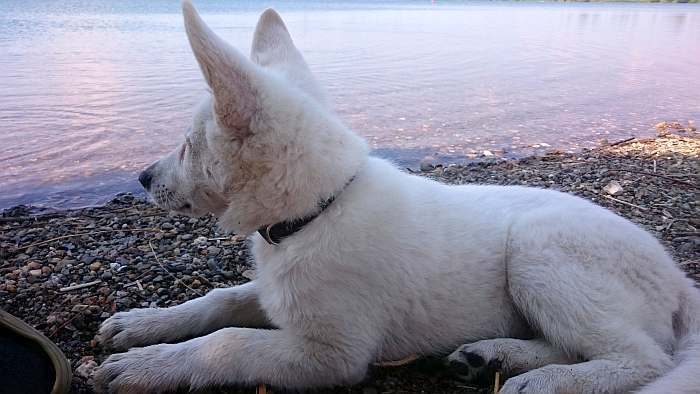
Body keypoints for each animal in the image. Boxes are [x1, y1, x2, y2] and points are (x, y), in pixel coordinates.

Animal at [93, 1, 700, 392]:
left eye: (187, 145)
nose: (141, 178)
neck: (317, 212)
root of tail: (678, 279)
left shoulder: (330, 354)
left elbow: (228, 342)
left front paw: (148, 366)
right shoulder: (277, 297)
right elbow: (219, 300)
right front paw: (143, 325)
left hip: (541, 252)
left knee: (641, 358)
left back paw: (545, 381)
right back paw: (492, 357)